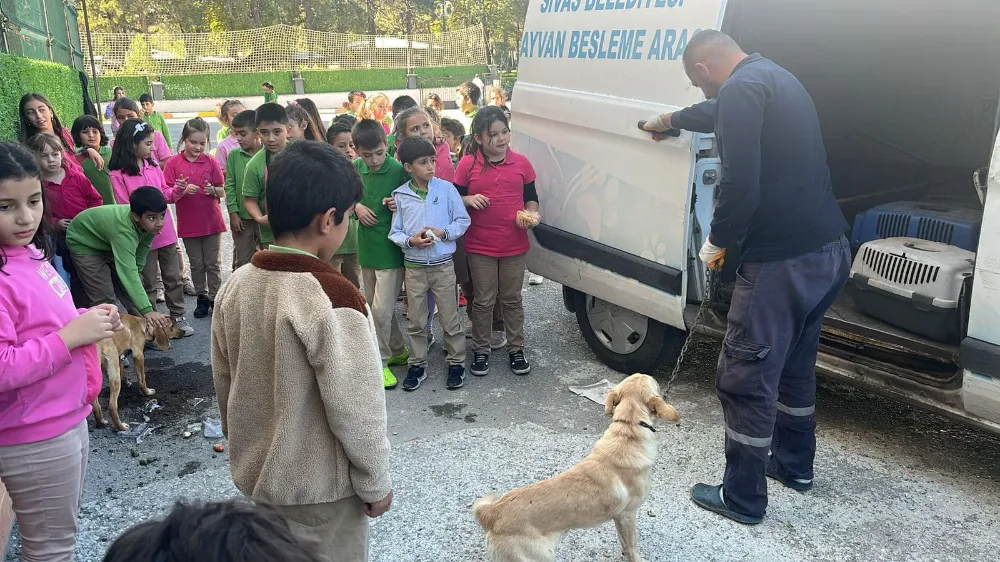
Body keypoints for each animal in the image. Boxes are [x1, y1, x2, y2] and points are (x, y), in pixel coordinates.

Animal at [474, 372, 680, 560]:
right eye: (654, 382)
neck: (628, 428)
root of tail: (493, 513)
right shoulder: (628, 515)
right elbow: (631, 546)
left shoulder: (619, 518)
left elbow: (623, 543)